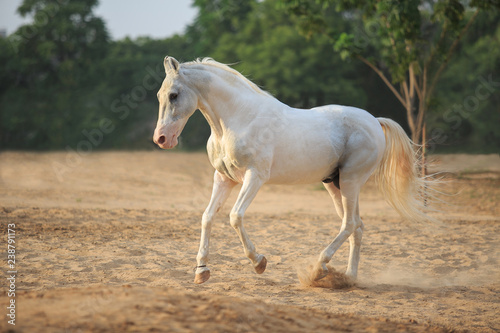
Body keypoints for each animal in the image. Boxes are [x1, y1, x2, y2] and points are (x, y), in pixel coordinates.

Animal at [152, 56, 430, 282]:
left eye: (174, 95)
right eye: (159, 96)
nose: (161, 139)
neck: (239, 119)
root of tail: (374, 121)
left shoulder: (255, 177)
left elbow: (235, 216)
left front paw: (259, 262)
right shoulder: (223, 178)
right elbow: (207, 217)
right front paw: (202, 271)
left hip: (351, 180)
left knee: (350, 224)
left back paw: (319, 268)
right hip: (335, 183)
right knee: (357, 226)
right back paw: (348, 278)